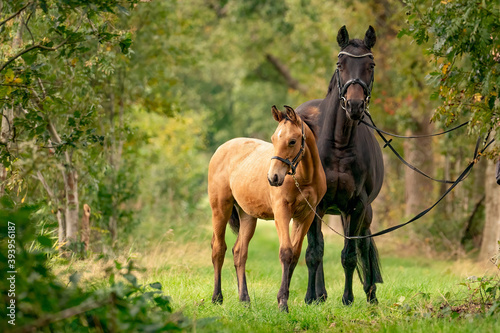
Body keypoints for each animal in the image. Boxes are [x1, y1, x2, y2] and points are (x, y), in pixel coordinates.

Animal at [208, 105, 328, 310]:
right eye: (273, 139)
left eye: (292, 141)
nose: (273, 178)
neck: (303, 179)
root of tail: (221, 149)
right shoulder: (282, 212)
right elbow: (285, 252)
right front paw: (282, 304)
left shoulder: (305, 217)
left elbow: (294, 255)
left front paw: (283, 299)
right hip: (220, 207)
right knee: (218, 249)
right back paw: (217, 297)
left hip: (247, 215)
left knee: (239, 252)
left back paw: (244, 300)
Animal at [298, 26, 384, 304]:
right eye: (340, 64)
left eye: (371, 65)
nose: (355, 105)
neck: (339, 143)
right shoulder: (314, 204)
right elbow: (314, 252)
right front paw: (310, 297)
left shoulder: (357, 205)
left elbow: (350, 254)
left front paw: (348, 298)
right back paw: (320, 294)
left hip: (360, 213)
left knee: (363, 244)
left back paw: (370, 293)